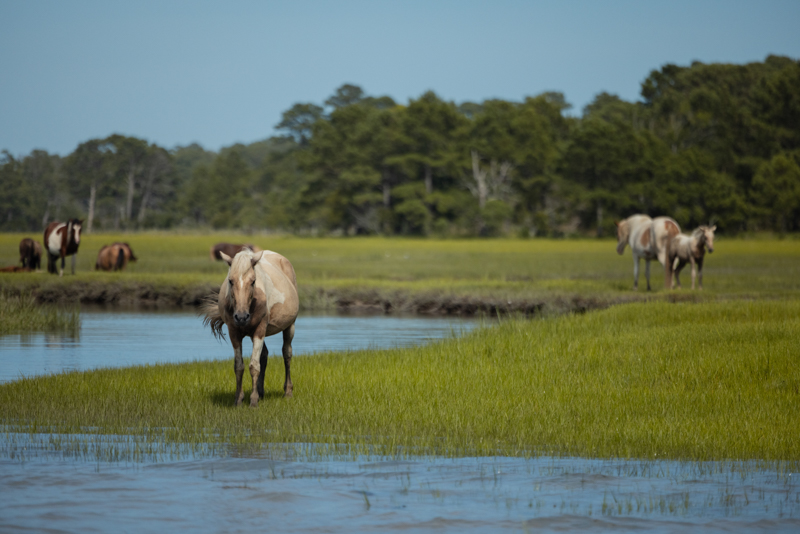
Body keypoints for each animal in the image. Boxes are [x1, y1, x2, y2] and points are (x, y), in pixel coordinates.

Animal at [202, 248, 299, 408]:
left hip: (289, 326)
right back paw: (261, 392)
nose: (241, 317)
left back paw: (288, 392)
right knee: (264, 355)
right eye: (230, 280)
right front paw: (239, 399)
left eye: (253, 281)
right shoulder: (233, 332)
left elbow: (254, 366)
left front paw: (253, 401)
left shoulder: (260, 329)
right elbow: (239, 366)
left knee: (287, 354)